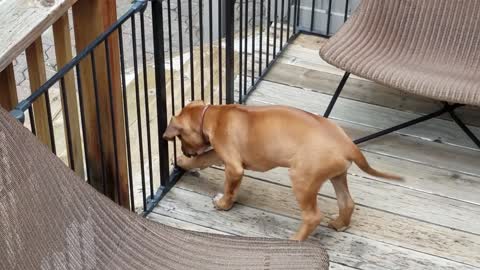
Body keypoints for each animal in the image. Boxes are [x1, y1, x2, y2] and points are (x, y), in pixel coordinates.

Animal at [163, 100, 400, 240]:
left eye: (180, 137)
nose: (184, 151)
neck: (214, 114)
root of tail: (348, 144)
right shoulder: (219, 153)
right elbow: (203, 158)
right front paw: (183, 162)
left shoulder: (233, 166)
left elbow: (229, 188)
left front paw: (223, 204)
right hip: (337, 175)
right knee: (347, 202)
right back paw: (339, 224)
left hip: (303, 179)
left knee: (313, 217)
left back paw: (295, 241)